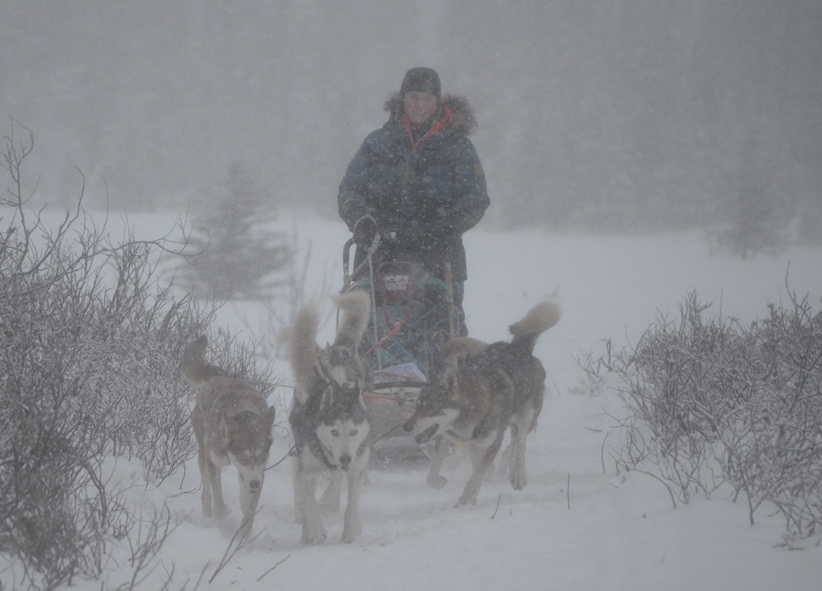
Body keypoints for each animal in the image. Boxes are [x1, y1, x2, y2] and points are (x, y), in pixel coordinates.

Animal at [182, 335, 276, 536]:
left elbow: (250, 510)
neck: (244, 414)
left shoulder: (258, 473)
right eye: (243, 457)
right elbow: (217, 493)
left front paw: (243, 535)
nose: (255, 484)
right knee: (206, 492)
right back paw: (209, 515)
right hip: (203, 451)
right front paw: (222, 514)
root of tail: (219, 376)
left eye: (262, 456)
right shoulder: (214, 461)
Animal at [289, 293, 372, 544]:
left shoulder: (356, 467)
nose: (345, 457)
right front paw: (315, 528)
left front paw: (350, 529)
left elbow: (352, 501)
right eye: (333, 431)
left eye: (354, 431)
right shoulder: (304, 468)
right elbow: (307, 499)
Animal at [403, 301, 560, 506]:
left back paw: (516, 473)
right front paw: (443, 483)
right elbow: (435, 474)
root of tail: (519, 348)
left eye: (430, 408)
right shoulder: (450, 437)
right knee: (513, 440)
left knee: (519, 441)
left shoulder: (493, 441)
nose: (406, 426)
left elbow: (475, 477)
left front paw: (463, 503)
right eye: (417, 406)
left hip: (526, 415)